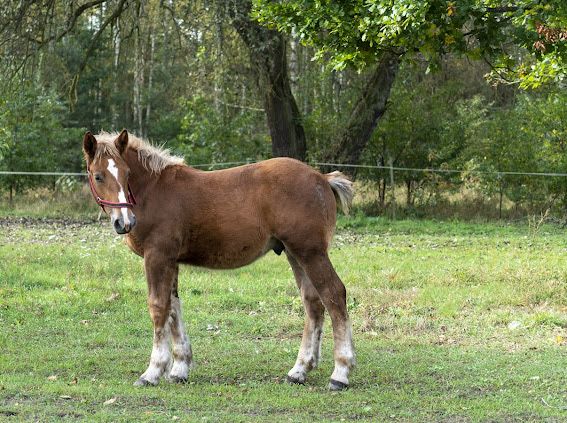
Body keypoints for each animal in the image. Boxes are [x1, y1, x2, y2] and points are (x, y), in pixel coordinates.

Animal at [81, 130, 356, 390]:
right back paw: (299, 370)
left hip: (311, 251)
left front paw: (152, 372)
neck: (153, 190)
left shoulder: (157, 256)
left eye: (127, 173)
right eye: (98, 176)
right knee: (313, 302)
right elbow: (174, 308)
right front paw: (179, 369)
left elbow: (159, 307)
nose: (124, 222)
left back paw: (340, 373)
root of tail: (322, 179)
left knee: (334, 294)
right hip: (295, 253)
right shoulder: (172, 261)